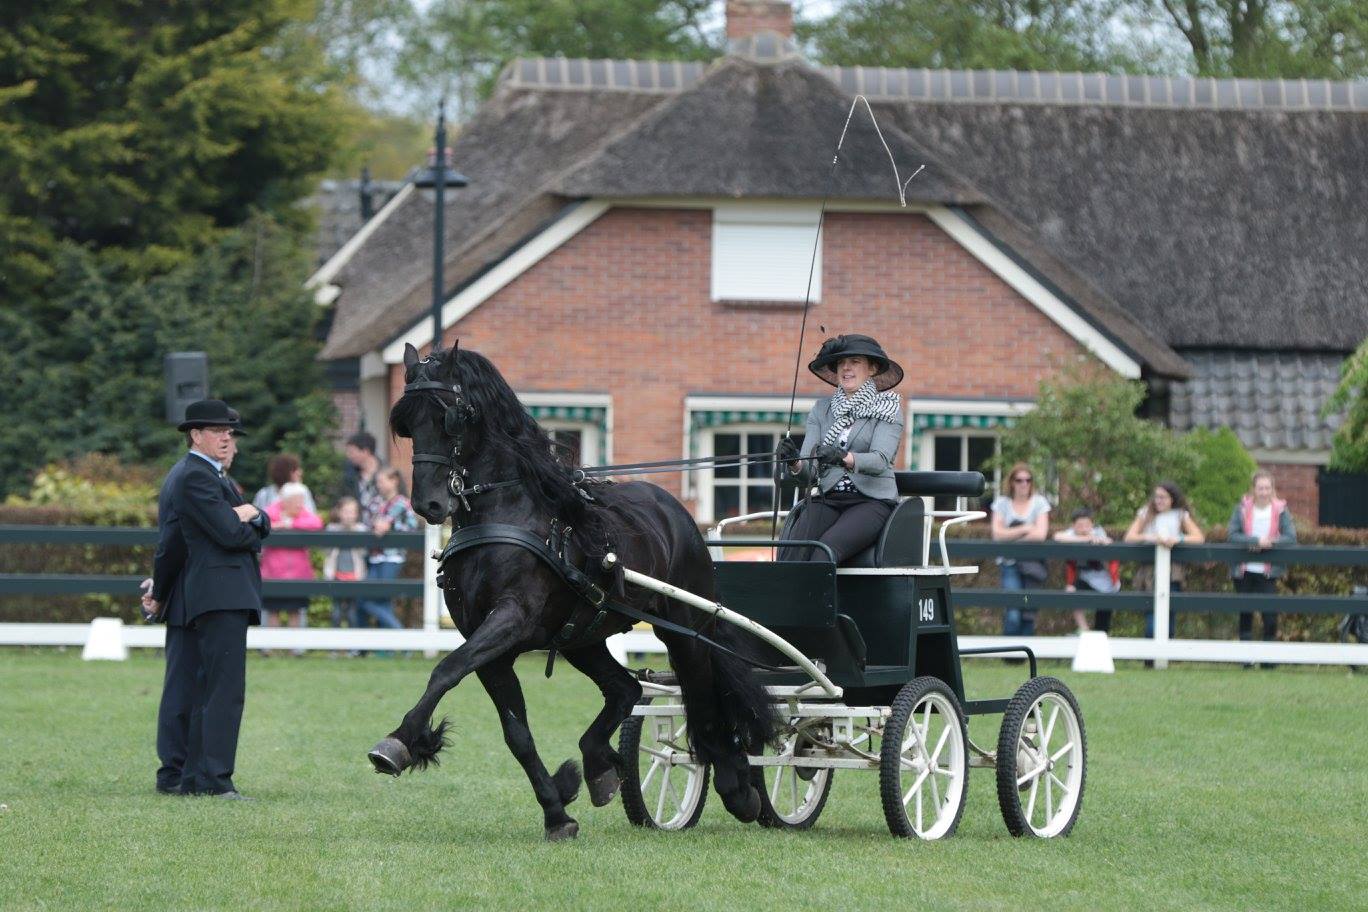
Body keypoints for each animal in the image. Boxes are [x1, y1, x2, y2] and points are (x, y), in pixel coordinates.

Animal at [369, 344, 777, 842]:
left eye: (452, 417)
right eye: (407, 423)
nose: (427, 504)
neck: (505, 515)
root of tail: (677, 512)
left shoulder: (510, 619)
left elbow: (444, 670)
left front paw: (399, 741)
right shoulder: (489, 646)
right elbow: (517, 735)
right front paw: (556, 810)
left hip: (686, 631)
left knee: (702, 701)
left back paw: (738, 789)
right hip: (583, 637)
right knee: (625, 689)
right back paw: (598, 764)